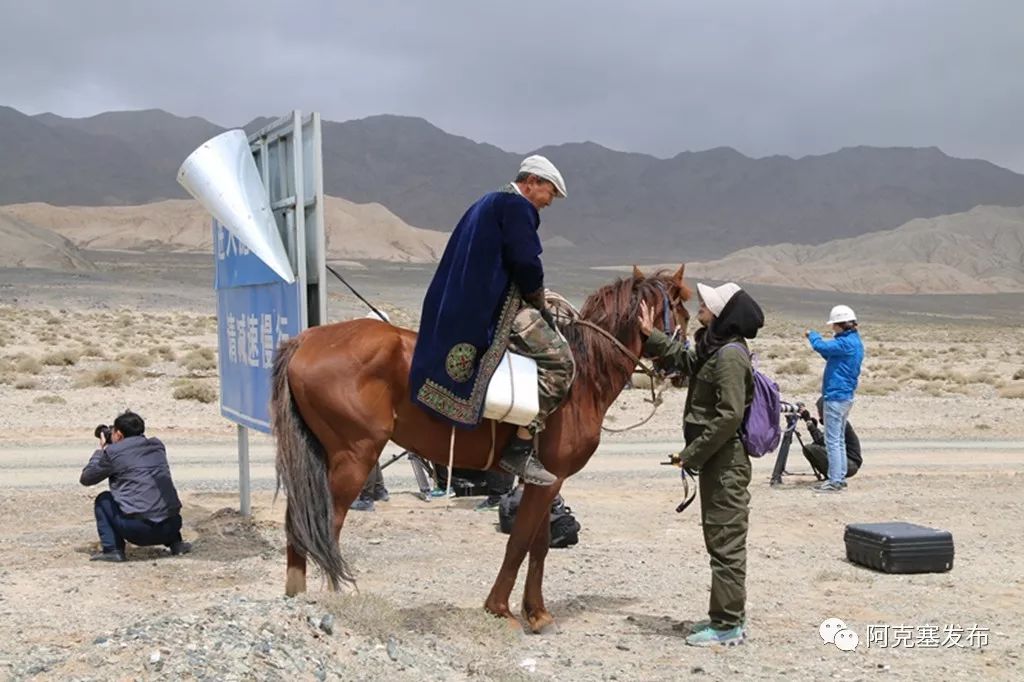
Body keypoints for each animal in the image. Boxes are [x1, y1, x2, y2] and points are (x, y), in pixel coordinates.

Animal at [268, 262, 692, 630]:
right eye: (684, 312)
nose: (683, 366)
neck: (584, 380)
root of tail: (306, 339)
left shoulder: (544, 481)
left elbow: (538, 545)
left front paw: (537, 613)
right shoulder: (550, 479)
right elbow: (520, 543)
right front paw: (501, 609)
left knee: (299, 524)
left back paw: (297, 596)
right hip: (354, 457)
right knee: (324, 525)